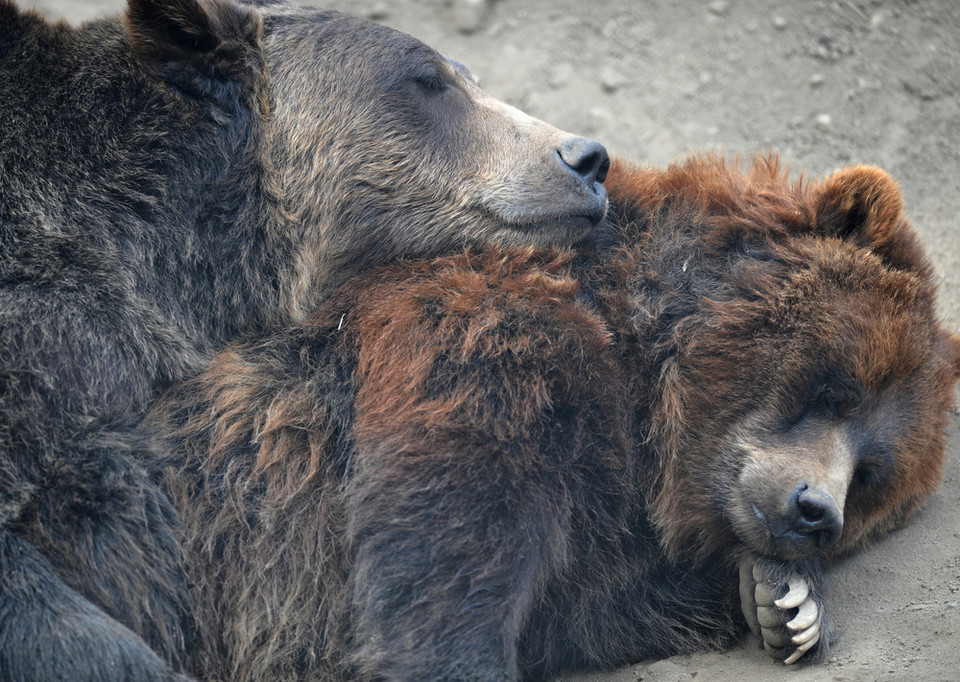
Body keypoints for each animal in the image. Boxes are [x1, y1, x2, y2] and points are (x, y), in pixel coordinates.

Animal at [152, 153, 960, 680]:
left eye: (871, 472)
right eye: (836, 390)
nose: (814, 510)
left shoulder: (608, 526)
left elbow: (581, 610)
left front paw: (786, 599)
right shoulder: (493, 340)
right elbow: (452, 539)